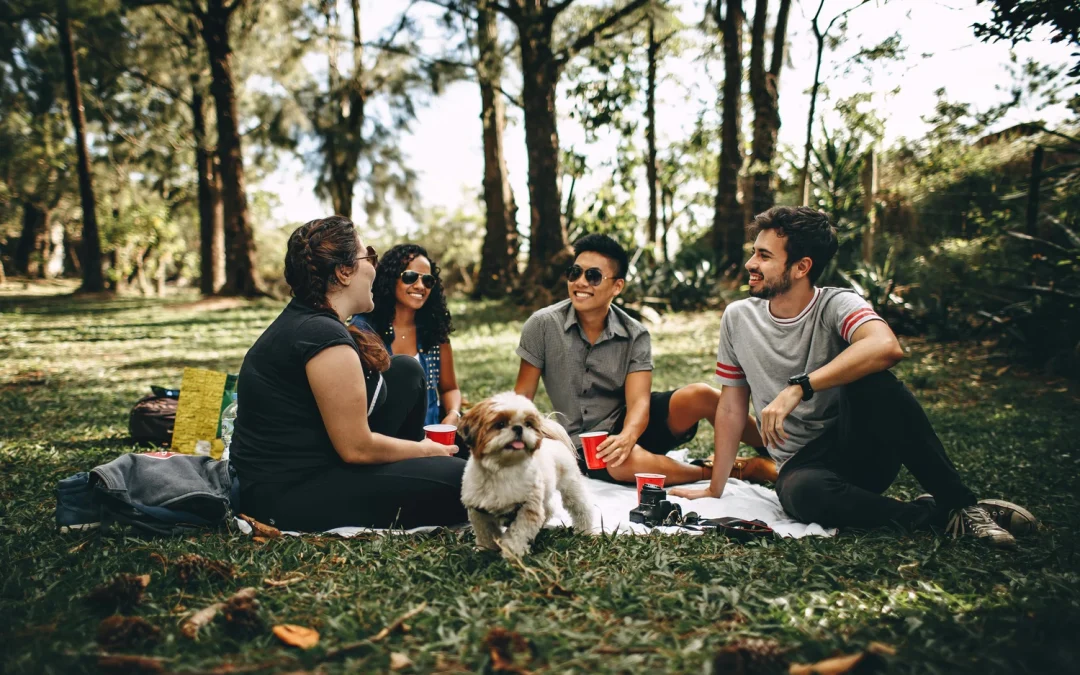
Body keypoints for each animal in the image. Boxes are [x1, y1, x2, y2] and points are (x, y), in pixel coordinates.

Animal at [455, 388, 591, 557]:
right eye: (500, 424)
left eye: (528, 424)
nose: (519, 428)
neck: (503, 469)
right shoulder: (479, 511)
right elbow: (485, 533)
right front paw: (485, 550)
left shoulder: (528, 508)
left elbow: (518, 533)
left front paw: (512, 552)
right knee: (548, 509)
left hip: (570, 485)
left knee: (581, 508)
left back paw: (585, 530)